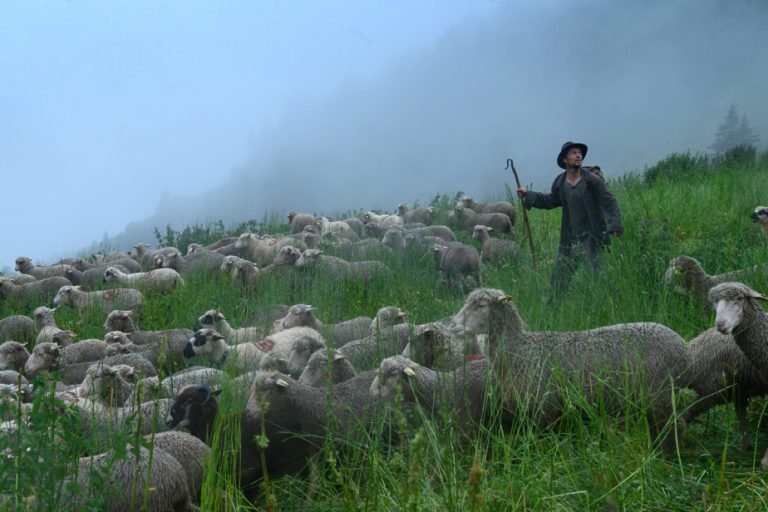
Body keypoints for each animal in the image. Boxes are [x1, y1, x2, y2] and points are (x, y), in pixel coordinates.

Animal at [450, 288, 688, 452]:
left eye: (481, 305)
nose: (451, 325)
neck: (520, 348)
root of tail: (683, 348)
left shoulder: (544, 409)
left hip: (660, 396)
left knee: (673, 427)